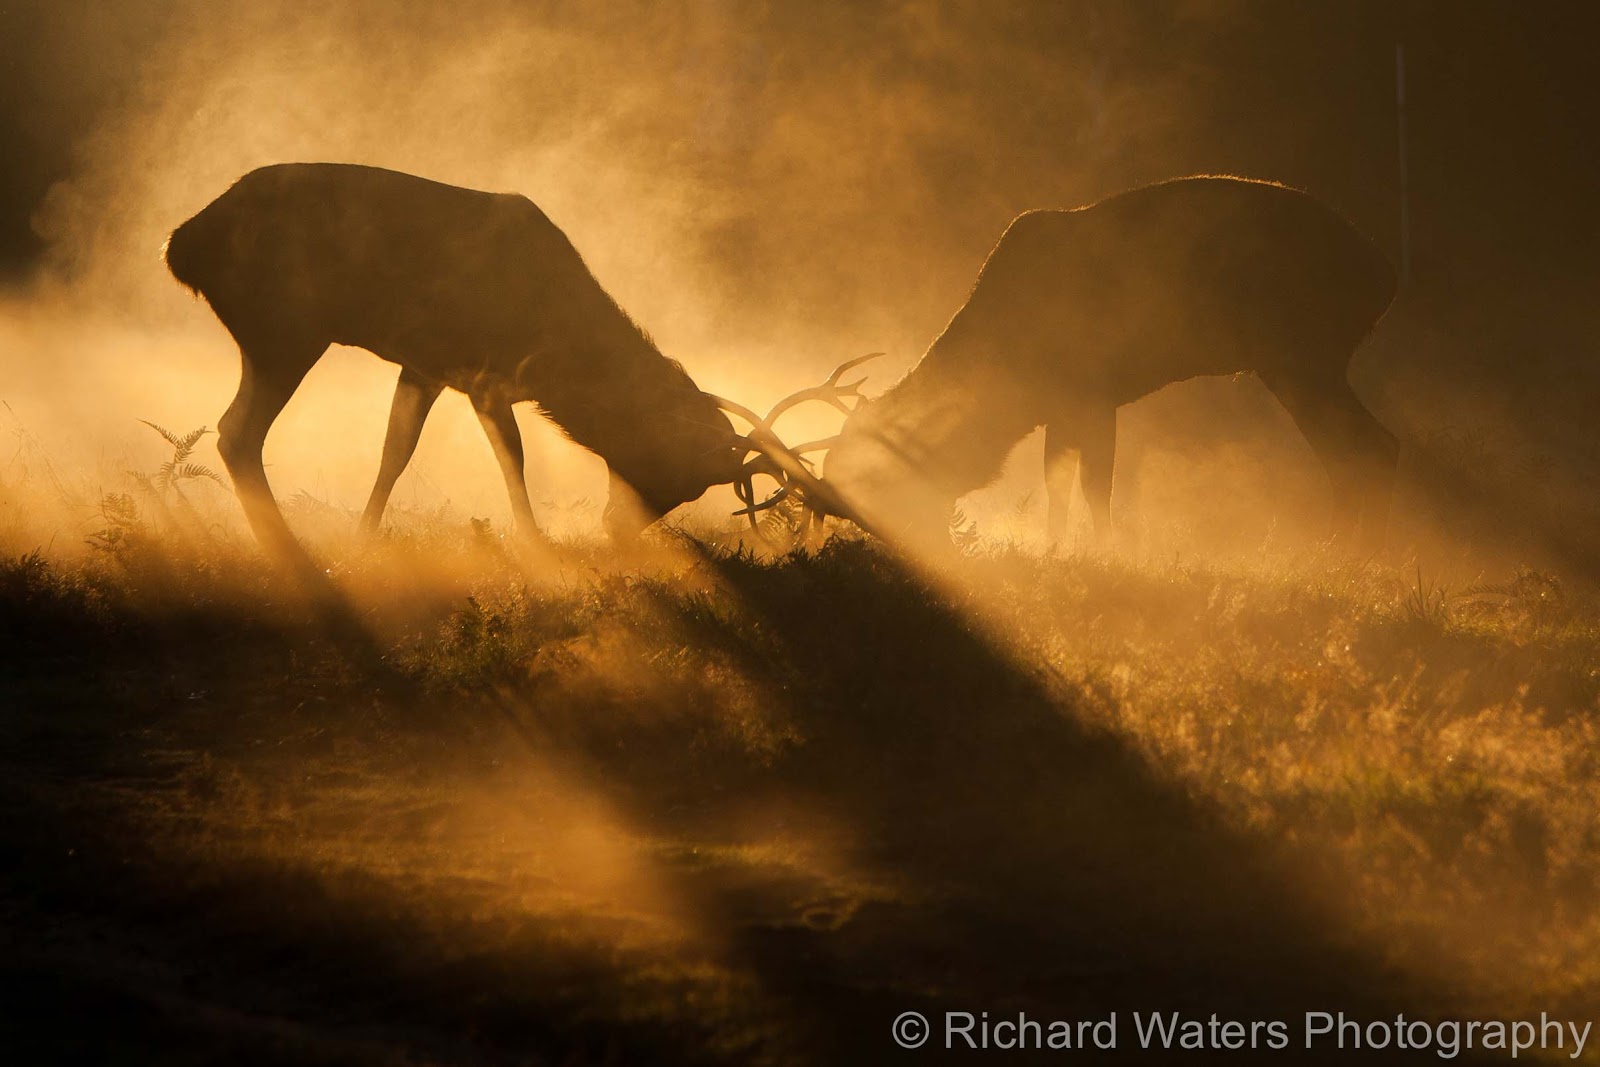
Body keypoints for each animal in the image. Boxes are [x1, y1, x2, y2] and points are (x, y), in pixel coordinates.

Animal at [165, 162, 856, 562]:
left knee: (237, 432)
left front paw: (363, 540)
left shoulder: (426, 366)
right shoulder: (485, 374)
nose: (617, 530)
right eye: (677, 471)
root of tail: (181, 245)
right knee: (235, 432)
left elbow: (395, 453)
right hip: (283, 326)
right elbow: (513, 458)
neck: (558, 352)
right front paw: (536, 545)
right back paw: (286, 549)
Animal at [819, 176, 1400, 553]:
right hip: (1298, 364)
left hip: (1303, 358)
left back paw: (1341, 554)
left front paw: (1101, 556)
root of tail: (1386, 276)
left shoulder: (1094, 395)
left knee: (1367, 449)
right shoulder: (1062, 410)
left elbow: (1096, 488)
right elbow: (1059, 485)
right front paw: (1055, 551)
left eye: (871, 478)